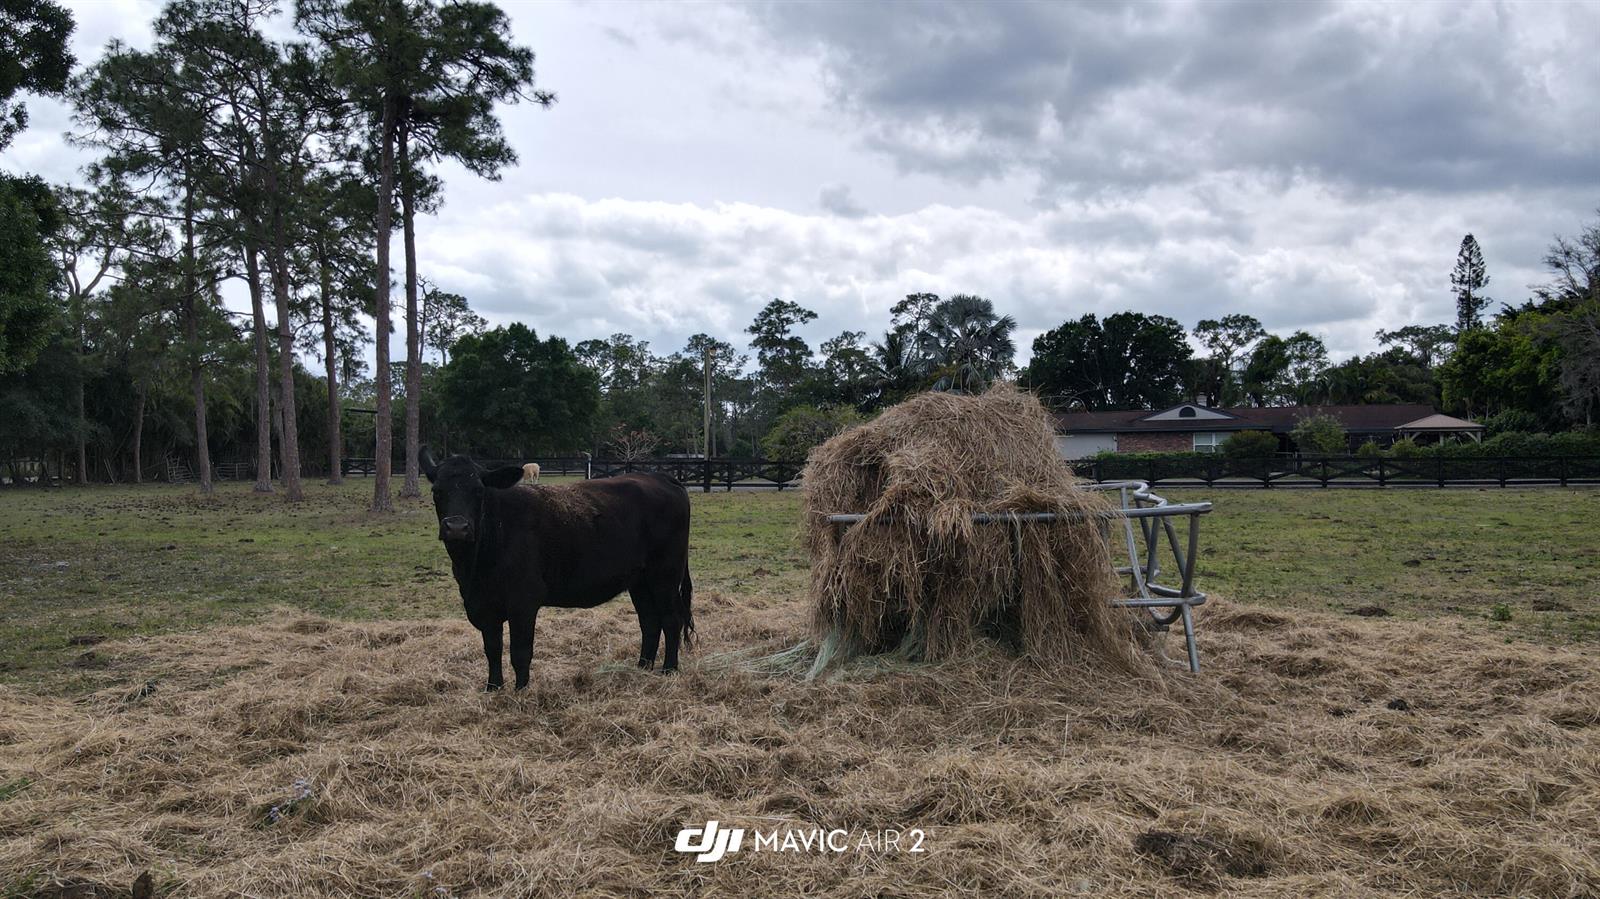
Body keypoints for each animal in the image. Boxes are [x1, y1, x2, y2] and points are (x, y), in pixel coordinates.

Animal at [420, 446, 694, 691]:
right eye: (436, 491)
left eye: (479, 490)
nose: (457, 527)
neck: (475, 568)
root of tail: (659, 477)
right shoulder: (483, 605)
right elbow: (492, 648)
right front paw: (493, 688)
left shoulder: (523, 602)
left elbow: (520, 652)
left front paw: (521, 693)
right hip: (640, 581)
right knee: (649, 621)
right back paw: (641, 668)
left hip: (665, 575)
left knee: (671, 619)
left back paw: (669, 670)